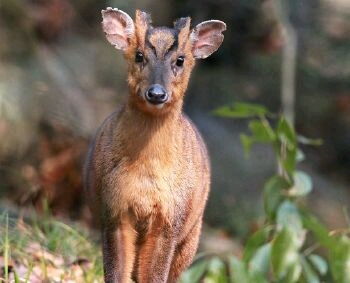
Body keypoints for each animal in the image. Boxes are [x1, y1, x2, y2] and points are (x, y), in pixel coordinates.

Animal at [85, 7, 227, 283]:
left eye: (180, 60)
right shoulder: (112, 211)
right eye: (139, 55)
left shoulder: (171, 221)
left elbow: (154, 276)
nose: (157, 93)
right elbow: (116, 273)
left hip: (192, 237)